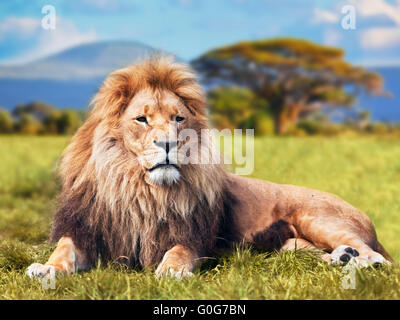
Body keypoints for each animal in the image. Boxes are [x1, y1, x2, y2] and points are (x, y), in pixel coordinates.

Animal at [26, 57, 392, 280]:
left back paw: (364, 261)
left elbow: (177, 252)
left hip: (317, 217)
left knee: (377, 255)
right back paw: (341, 258)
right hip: (290, 245)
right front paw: (45, 269)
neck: (139, 189)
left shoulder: (191, 236)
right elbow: (63, 249)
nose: (169, 143)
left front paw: (171, 271)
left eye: (178, 119)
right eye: (142, 119)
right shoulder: (86, 230)